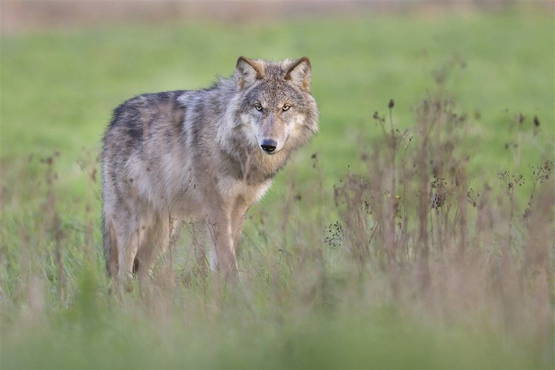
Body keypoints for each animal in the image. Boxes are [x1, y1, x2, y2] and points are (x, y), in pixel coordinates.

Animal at [102, 56, 320, 280]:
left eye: (286, 107)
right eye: (259, 107)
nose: (268, 144)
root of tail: (116, 118)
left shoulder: (239, 208)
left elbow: (221, 259)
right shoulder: (216, 207)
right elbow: (227, 258)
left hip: (162, 230)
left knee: (142, 273)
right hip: (134, 222)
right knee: (122, 273)